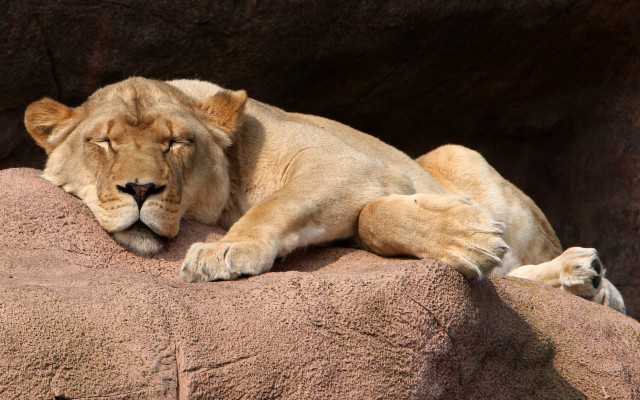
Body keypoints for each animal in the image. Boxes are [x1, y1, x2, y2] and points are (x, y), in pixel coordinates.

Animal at [24, 77, 625, 314]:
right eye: (104, 142)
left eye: (175, 143)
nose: (140, 188)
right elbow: (370, 219)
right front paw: (468, 237)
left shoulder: (343, 161)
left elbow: (344, 212)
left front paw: (222, 249)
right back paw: (582, 278)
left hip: (461, 154)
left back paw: (592, 279)